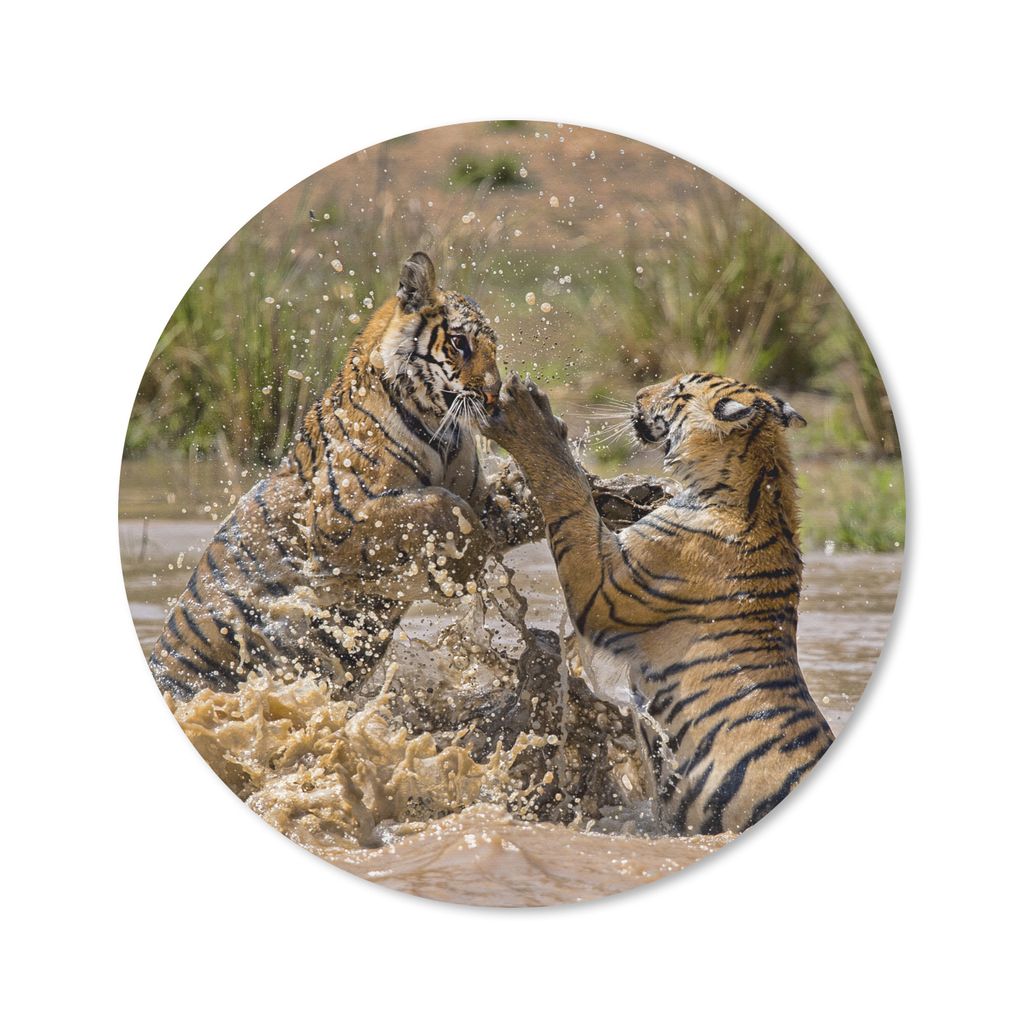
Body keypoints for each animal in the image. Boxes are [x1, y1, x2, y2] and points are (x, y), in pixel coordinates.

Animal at [148, 252, 541, 701]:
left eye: (494, 347)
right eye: (460, 343)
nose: (494, 396)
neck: (439, 427)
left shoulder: (477, 495)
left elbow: (495, 509)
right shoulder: (337, 518)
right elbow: (439, 505)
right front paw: (461, 571)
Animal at [482, 370, 834, 835]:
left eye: (678, 391)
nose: (638, 395)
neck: (758, 485)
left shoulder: (603, 590)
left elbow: (569, 496)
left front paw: (530, 417)